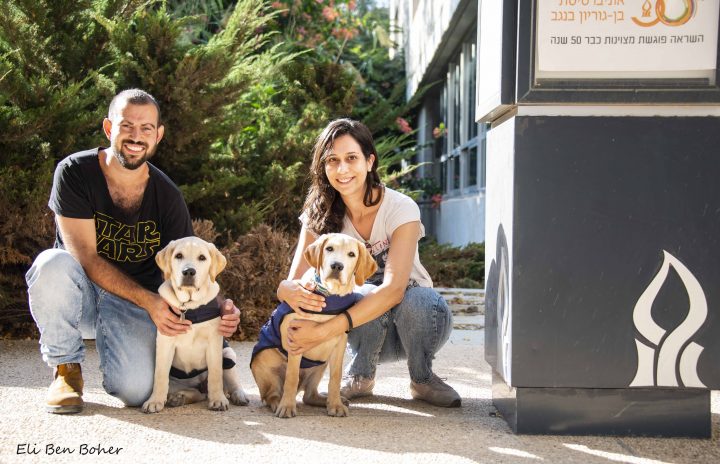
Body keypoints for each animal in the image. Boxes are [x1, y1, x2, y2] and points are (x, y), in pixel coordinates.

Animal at [142, 236, 249, 414]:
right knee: (196, 393)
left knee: (230, 382)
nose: (189, 272)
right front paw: (154, 401)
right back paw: (179, 398)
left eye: (202, 258)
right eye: (178, 256)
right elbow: (160, 375)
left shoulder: (214, 343)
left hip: (228, 354)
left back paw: (238, 395)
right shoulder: (165, 342)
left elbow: (215, 375)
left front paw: (218, 400)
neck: (189, 306)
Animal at [250, 234, 376, 418]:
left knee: (309, 396)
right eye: (329, 248)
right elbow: (292, 377)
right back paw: (278, 402)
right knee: (271, 394)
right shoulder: (295, 340)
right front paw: (287, 406)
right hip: (265, 363)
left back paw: (329, 400)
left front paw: (335, 404)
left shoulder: (339, 344)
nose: (337, 266)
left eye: (351, 254)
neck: (329, 295)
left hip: (320, 364)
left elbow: (335, 378)